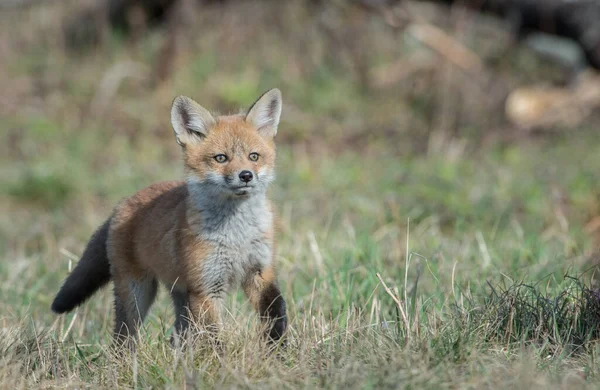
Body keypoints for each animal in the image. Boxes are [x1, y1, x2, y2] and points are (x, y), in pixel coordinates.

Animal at [51, 88, 286, 348]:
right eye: (221, 158)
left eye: (254, 156)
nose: (246, 176)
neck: (237, 236)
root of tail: (122, 203)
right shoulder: (206, 287)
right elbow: (216, 337)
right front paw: (225, 358)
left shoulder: (260, 272)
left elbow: (277, 309)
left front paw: (278, 347)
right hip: (137, 294)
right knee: (124, 337)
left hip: (181, 296)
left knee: (176, 334)